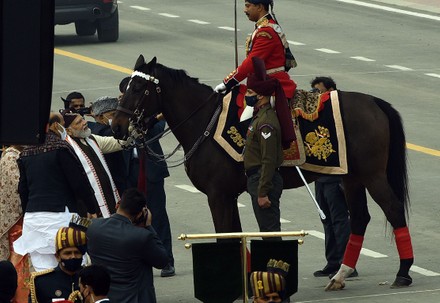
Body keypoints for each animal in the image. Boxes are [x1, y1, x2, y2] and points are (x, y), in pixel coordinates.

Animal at [111, 55, 414, 292]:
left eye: (138, 88)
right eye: (123, 87)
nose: (117, 126)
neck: (204, 122)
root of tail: (375, 102)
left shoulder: (217, 195)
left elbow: (225, 234)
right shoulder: (228, 195)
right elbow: (234, 233)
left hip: (372, 176)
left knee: (393, 209)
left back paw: (402, 273)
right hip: (351, 177)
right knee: (360, 218)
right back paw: (340, 275)